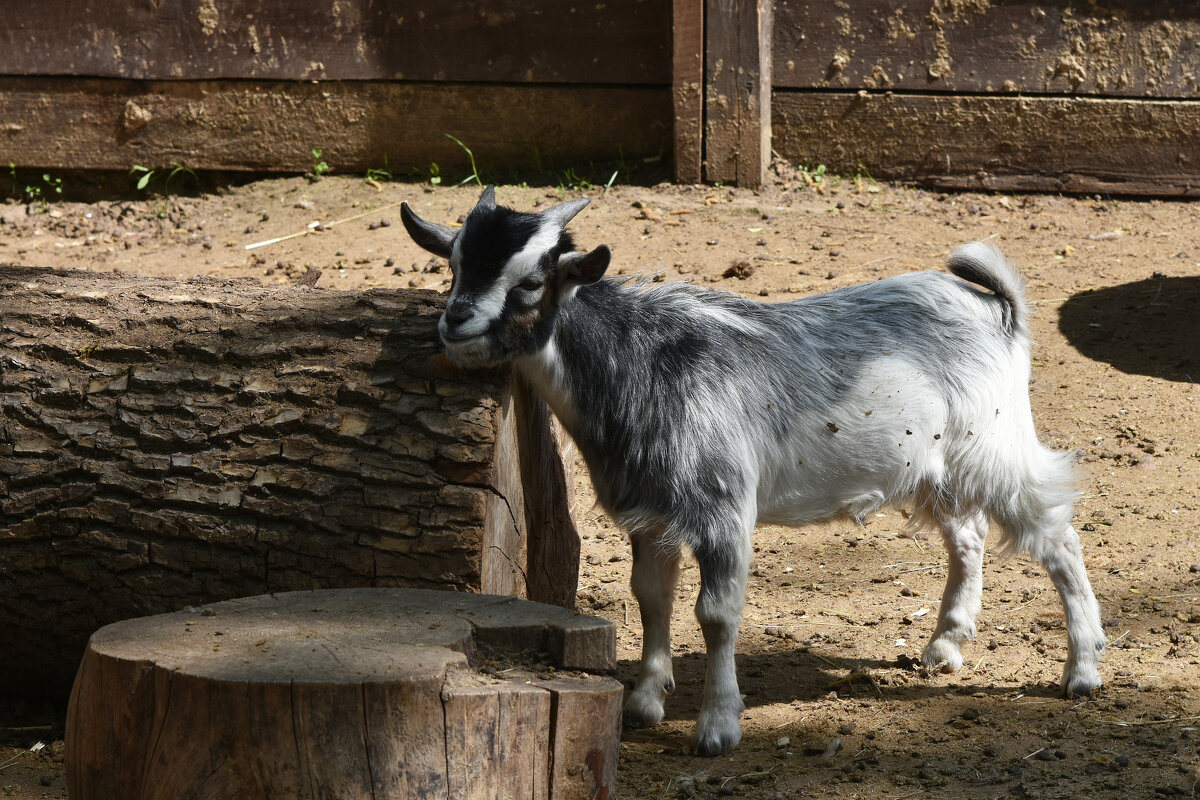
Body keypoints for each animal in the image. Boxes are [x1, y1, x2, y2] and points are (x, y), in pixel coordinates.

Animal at [403, 188, 1104, 758]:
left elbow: (716, 614)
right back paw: (946, 647)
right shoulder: (651, 514)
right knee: (968, 538)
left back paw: (1083, 670)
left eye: (529, 283)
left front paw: (717, 727)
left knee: (1058, 537)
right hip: (938, 469)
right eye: (455, 263)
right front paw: (644, 702)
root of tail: (996, 310)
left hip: (996, 450)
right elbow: (651, 597)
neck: (637, 362)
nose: (455, 321)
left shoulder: (722, 509)